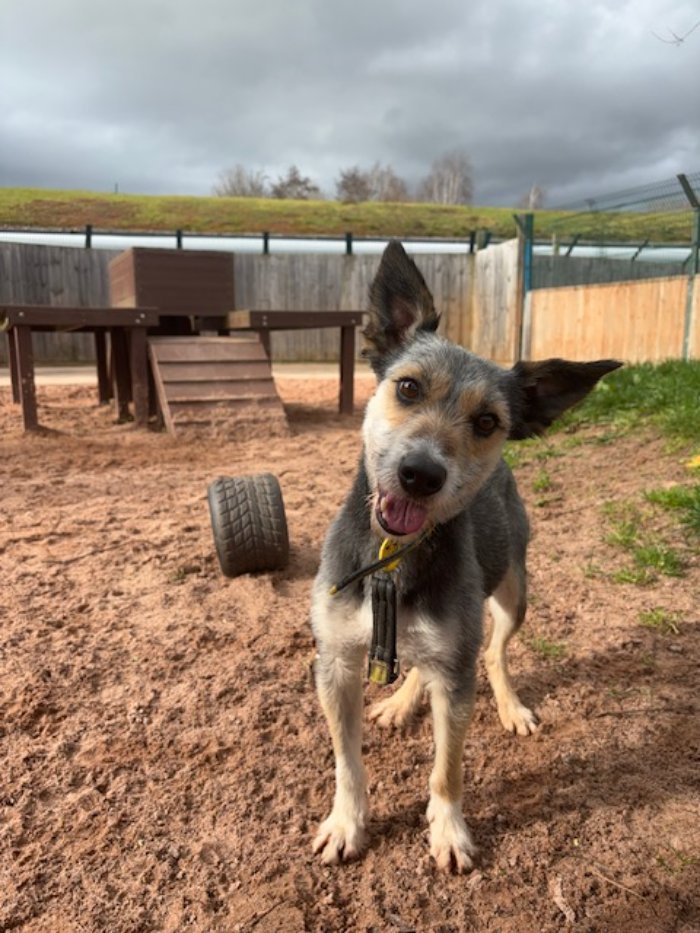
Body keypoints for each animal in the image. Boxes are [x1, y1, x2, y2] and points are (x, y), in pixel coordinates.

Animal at [308, 238, 620, 868]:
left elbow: (447, 769)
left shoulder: (456, 675)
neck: (394, 559)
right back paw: (402, 701)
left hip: (513, 595)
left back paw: (510, 706)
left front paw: (448, 830)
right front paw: (347, 823)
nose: (421, 474)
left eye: (486, 421)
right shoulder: (336, 663)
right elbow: (347, 762)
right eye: (407, 387)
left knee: (495, 654)